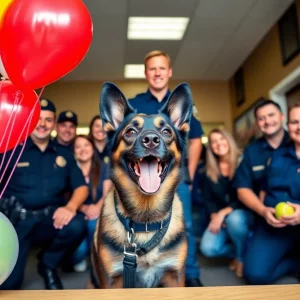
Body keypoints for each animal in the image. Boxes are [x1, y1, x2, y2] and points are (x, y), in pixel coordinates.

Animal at [91, 82, 193, 288]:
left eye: (166, 132)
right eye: (131, 131)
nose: (151, 140)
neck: (145, 223)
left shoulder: (175, 278)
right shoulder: (112, 282)